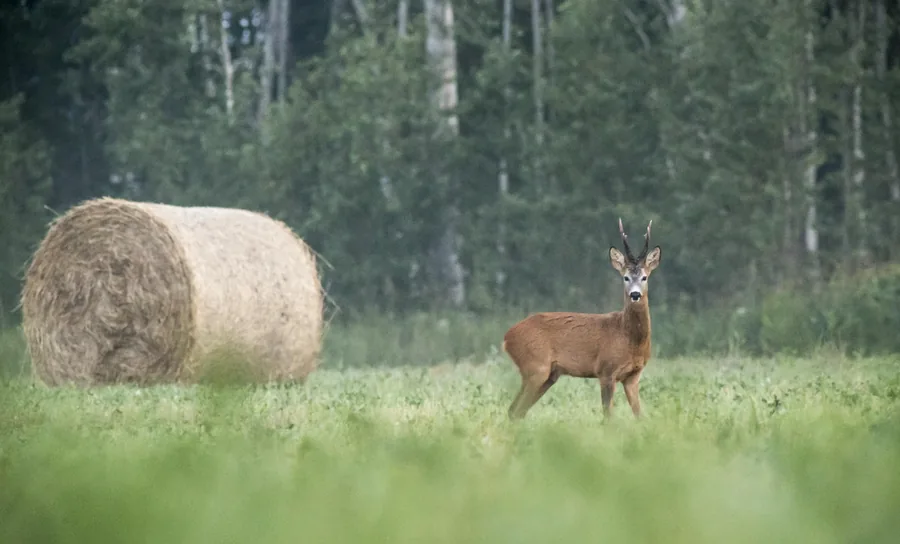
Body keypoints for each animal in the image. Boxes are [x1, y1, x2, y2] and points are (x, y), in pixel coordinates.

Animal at [502, 218, 661, 420]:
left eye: (644, 277)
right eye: (625, 277)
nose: (635, 294)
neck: (629, 339)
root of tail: (507, 338)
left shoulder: (633, 377)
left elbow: (640, 416)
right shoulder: (605, 370)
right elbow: (608, 416)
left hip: (548, 374)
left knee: (516, 410)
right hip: (535, 366)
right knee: (515, 410)